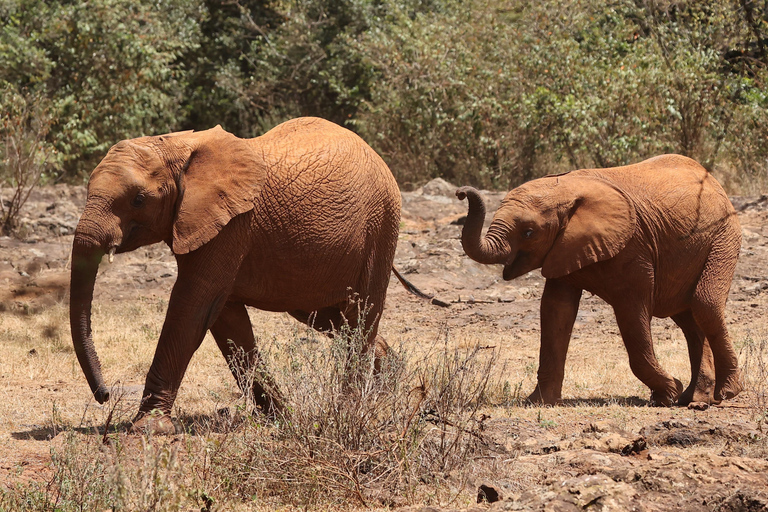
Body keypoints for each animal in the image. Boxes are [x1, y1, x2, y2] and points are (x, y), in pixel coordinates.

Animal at [72, 116, 402, 432]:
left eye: (138, 200)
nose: (105, 395)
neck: (177, 145)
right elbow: (227, 321)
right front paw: (285, 420)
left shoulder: (232, 224)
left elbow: (191, 307)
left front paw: (149, 427)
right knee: (333, 318)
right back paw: (385, 382)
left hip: (381, 225)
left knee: (361, 314)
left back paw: (350, 411)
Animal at [460, 156, 740, 408]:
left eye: (529, 233)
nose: (461, 192)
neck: (566, 187)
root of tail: (712, 179)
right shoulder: (563, 248)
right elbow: (555, 311)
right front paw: (537, 403)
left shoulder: (633, 248)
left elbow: (632, 313)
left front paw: (667, 394)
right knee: (689, 319)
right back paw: (696, 399)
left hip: (723, 236)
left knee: (704, 304)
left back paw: (726, 393)